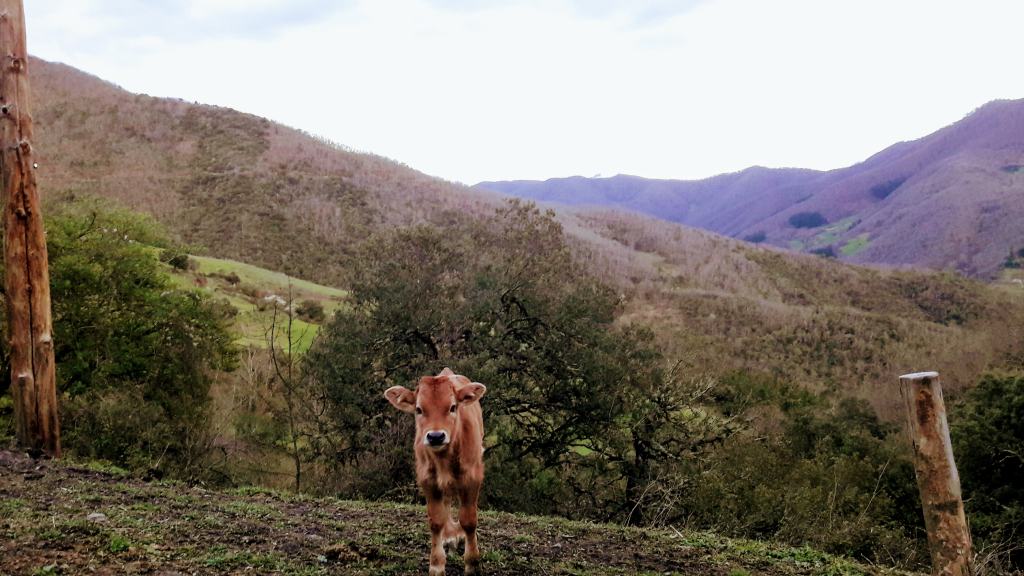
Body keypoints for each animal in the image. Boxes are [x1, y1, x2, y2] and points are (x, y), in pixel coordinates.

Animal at [385, 366, 485, 573]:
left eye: (453, 407)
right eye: (419, 409)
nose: (436, 436)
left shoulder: (473, 477)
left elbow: (469, 520)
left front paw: (472, 563)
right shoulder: (428, 479)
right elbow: (436, 521)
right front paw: (437, 565)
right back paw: (450, 536)